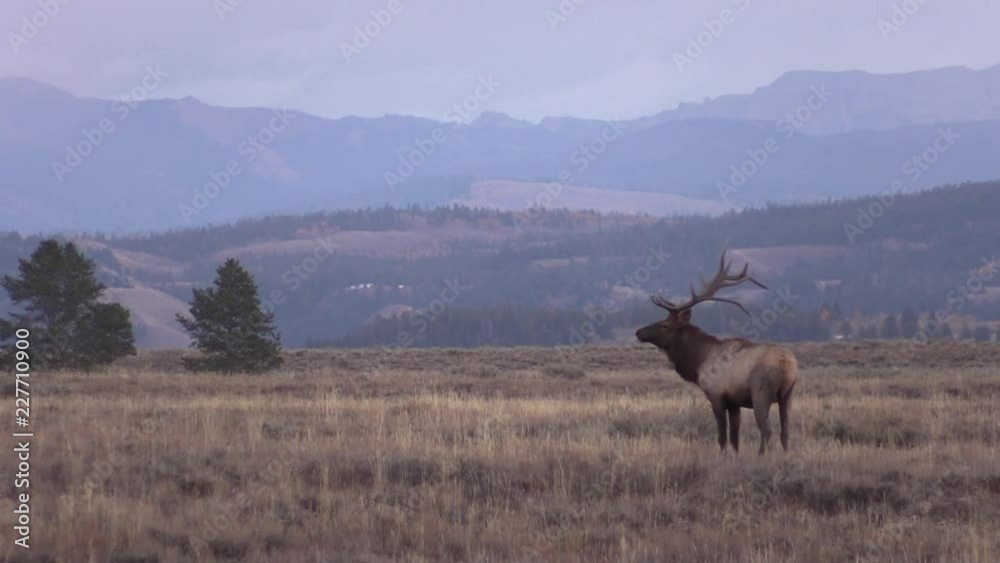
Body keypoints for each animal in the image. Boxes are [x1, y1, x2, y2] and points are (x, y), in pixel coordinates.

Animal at [640, 251, 796, 454]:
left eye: (664, 325)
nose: (638, 332)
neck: (698, 362)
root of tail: (787, 364)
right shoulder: (734, 402)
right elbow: (735, 437)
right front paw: (735, 456)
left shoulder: (716, 396)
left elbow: (722, 436)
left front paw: (722, 456)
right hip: (788, 394)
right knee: (785, 431)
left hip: (761, 394)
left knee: (767, 431)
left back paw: (761, 456)